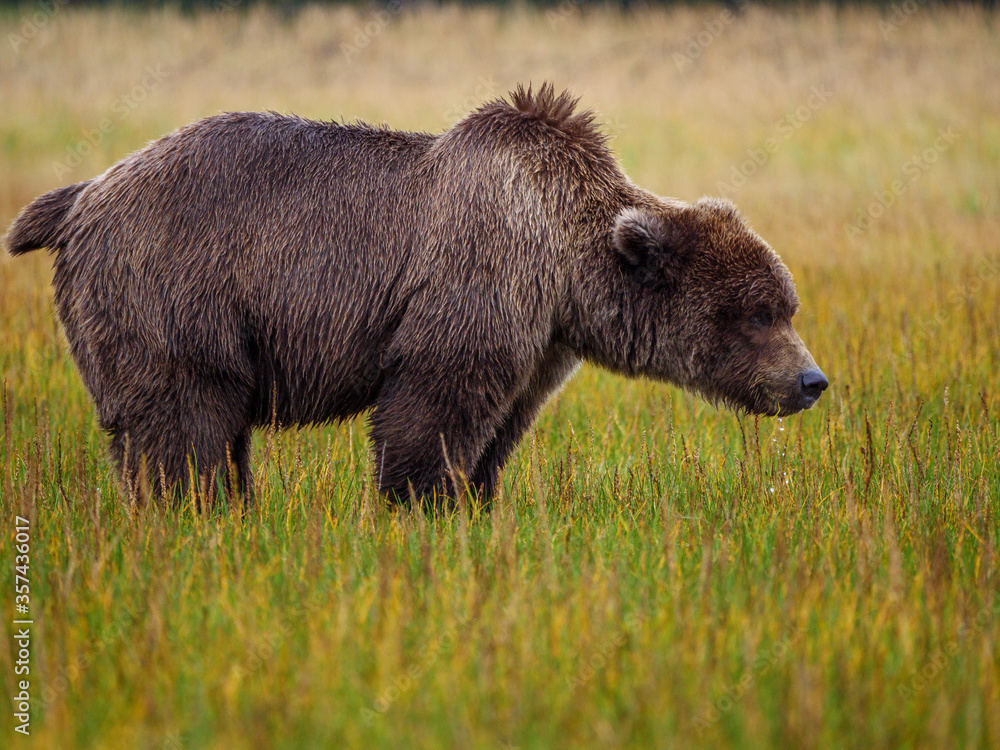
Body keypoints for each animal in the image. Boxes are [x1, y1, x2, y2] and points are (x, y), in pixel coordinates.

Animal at [3, 85, 824, 508]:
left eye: (786, 305)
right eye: (755, 315)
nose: (811, 380)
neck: (563, 271)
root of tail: (86, 193)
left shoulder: (540, 340)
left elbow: (500, 425)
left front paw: (476, 500)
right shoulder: (479, 278)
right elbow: (432, 403)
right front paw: (419, 505)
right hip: (175, 286)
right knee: (182, 421)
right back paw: (197, 511)